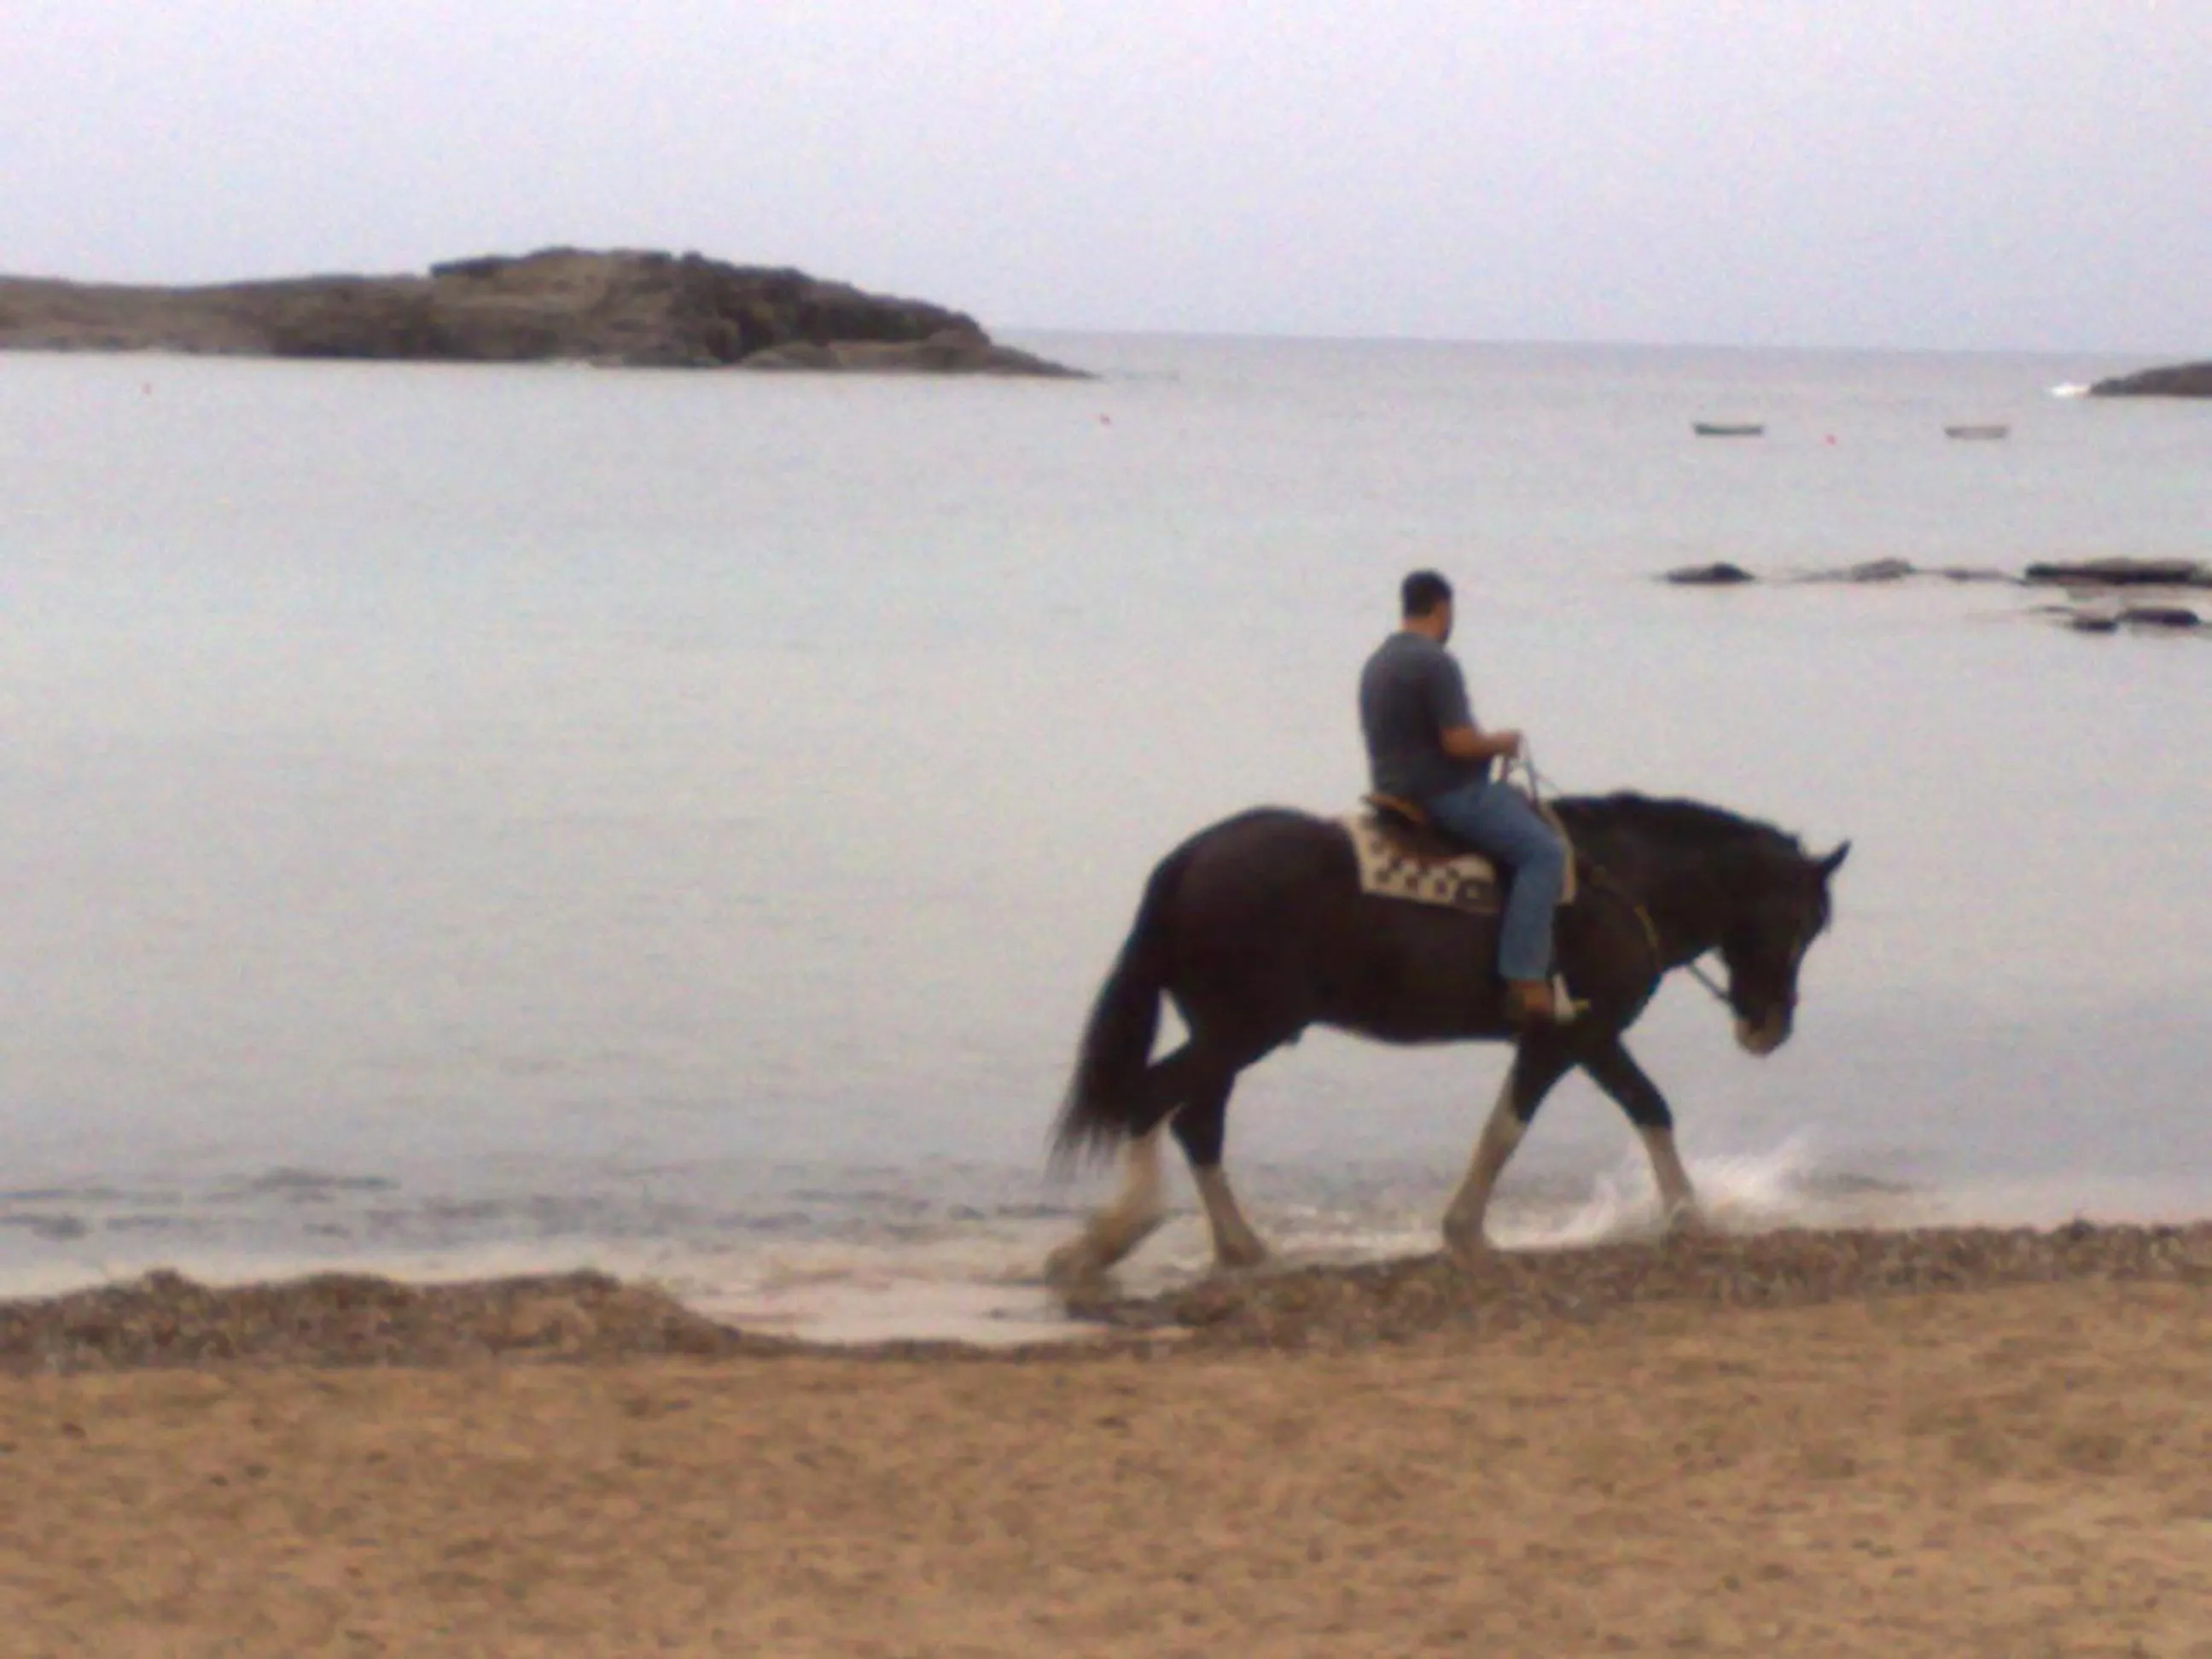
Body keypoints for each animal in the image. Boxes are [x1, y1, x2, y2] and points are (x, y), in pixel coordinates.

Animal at [1044, 792, 1848, 1284]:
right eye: (1801, 924)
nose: (1770, 1026)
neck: (1625, 885)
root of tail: (1190, 860)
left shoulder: (1581, 1039)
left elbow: (1637, 1109)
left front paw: (1687, 1216)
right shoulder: (1573, 1036)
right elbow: (1528, 1125)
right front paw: (1467, 1230)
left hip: (1228, 1031)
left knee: (1195, 1121)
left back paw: (1237, 1246)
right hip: (1241, 1029)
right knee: (1157, 1099)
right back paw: (1114, 1234)